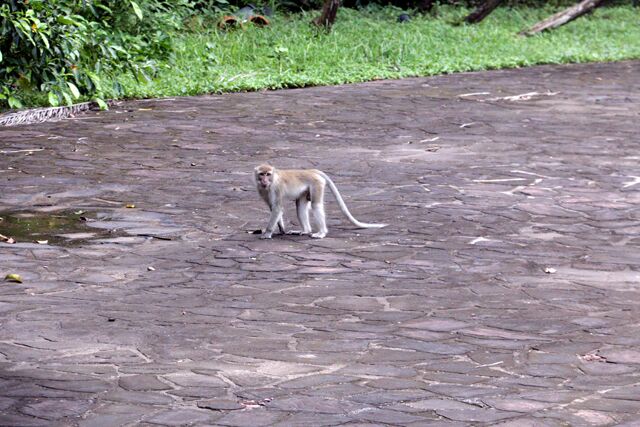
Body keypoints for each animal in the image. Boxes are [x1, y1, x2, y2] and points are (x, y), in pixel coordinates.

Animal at [254, 164, 384, 239]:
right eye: (261, 174)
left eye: (268, 174)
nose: (264, 180)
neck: (273, 179)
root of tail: (311, 171)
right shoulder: (262, 190)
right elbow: (273, 208)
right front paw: (281, 229)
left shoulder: (276, 188)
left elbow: (277, 208)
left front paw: (267, 233)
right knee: (300, 205)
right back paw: (306, 231)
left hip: (316, 183)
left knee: (316, 205)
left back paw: (322, 233)